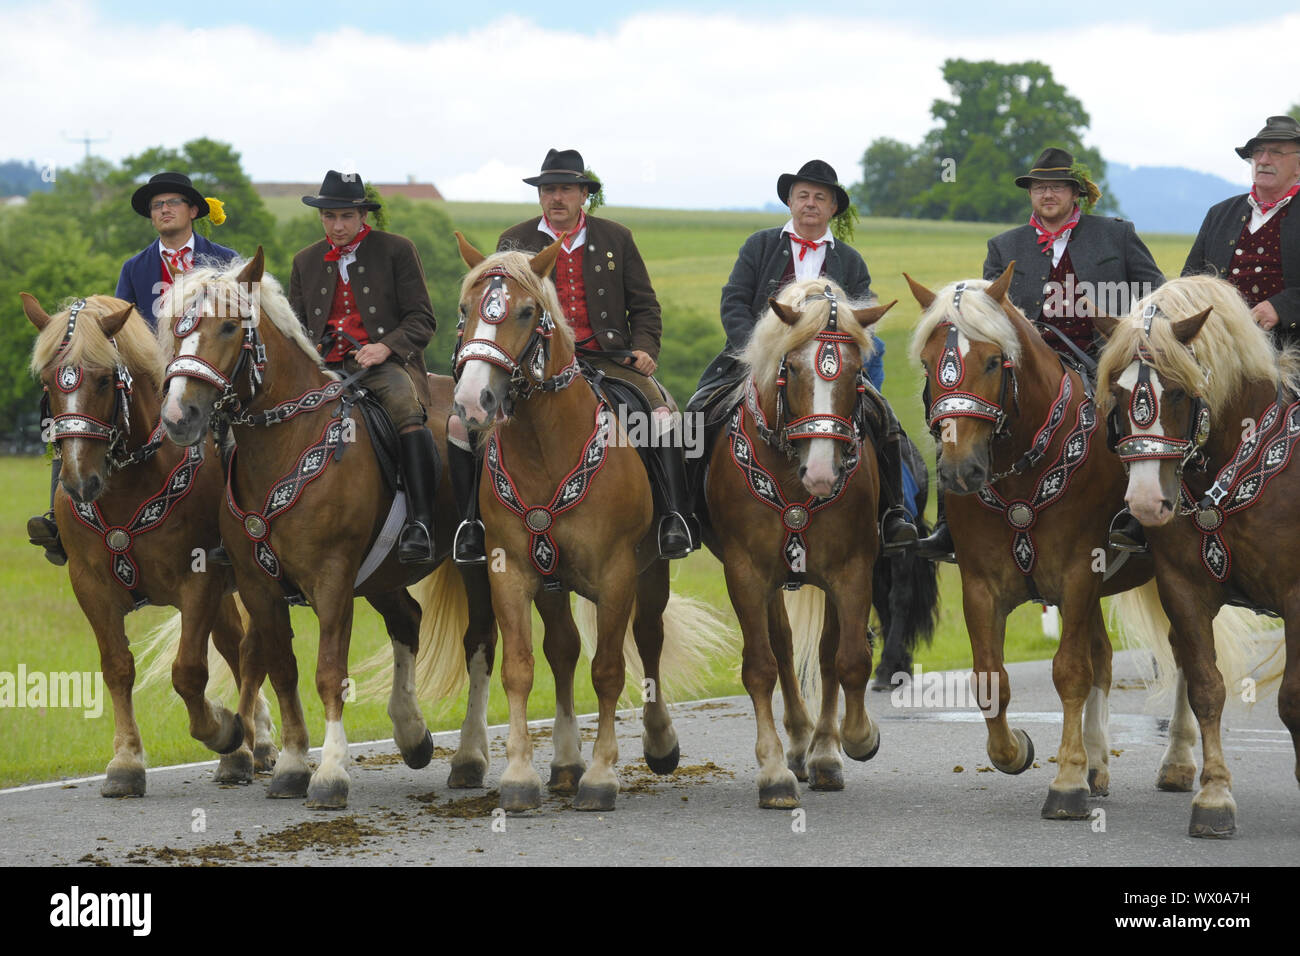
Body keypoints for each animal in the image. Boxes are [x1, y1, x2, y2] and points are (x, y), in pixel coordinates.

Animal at [22, 293, 274, 801]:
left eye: (104, 378)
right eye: (47, 381)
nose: (79, 482)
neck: (131, 479)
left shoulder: (200, 581)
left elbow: (189, 672)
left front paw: (223, 731)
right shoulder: (90, 586)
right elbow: (118, 667)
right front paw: (126, 761)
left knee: (248, 652)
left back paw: (247, 744)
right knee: (235, 646)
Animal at [154, 252, 475, 806]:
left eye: (228, 326)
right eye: (179, 327)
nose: (179, 415)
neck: (287, 443)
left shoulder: (332, 580)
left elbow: (329, 673)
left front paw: (329, 773)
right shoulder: (260, 587)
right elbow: (283, 669)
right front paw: (289, 763)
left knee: (483, 645)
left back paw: (472, 759)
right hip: (381, 576)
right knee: (407, 620)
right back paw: (412, 734)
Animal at [452, 235, 717, 811]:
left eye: (527, 312)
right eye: (465, 309)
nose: (472, 402)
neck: (545, 446)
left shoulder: (617, 575)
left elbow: (610, 670)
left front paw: (600, 776)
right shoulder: (509, 574)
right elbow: (521, 667)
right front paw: (521, 775)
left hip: (651, 573)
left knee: (647, 637)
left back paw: (657, 743)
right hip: (553, 583)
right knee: (563, 649)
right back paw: (566, 762)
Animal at [702, 278, 915, 806]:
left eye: (857, 372)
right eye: (792, 367)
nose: (821, 473)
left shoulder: (851, 569)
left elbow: (848, 659)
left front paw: (852, 741)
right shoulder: (745, 573)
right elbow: (760, 666)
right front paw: (774, 771)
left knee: (825, 653)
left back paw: (819, 752)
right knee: (780, 647)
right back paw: (797, 746)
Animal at [1097, 270, 1300, 837]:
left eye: (1179, 392)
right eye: (1118, 394)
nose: (1146, 503)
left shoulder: (1297, 596)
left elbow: (1293, 699)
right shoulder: (1183, 588)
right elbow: (1206, 686)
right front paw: (1213, 796)